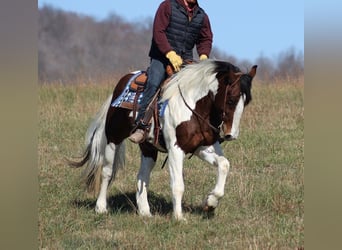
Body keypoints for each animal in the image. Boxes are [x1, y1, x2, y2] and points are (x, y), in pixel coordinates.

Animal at [69, 59, 256, 220]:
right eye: (231, 100)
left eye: (246, 102)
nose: (231, 135)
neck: (195, 106)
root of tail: (122, 83)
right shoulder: (175, 149)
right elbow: (178, 185)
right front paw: (179, 217)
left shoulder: (201, 147)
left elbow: (224, 164)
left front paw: (210, 202)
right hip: (113, 137)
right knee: (107, 171)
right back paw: (101, 207)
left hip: (148, 147)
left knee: (142, 176)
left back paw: (145, 212)